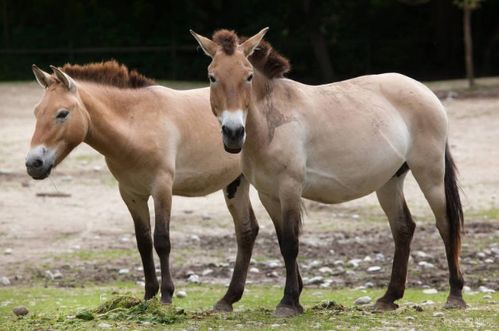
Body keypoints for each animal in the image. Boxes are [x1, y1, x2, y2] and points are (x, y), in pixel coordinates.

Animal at [26, 61, 262, 312]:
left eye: (62, 113)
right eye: (36, 112)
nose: (33, 163)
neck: (137, 123)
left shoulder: (162, 189)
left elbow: (162, 241)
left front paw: (166, 295)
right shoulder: (131, 194)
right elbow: (144, 242)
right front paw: (148, 296)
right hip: (236, 184)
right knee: (247, 232)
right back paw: (228, 299)